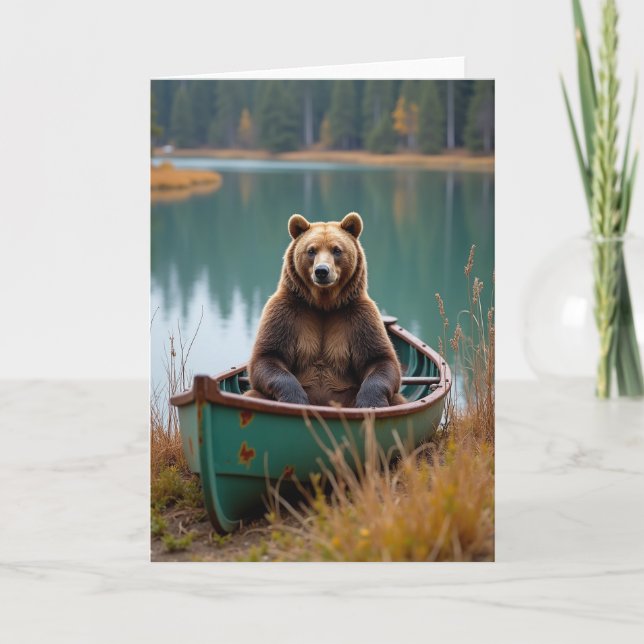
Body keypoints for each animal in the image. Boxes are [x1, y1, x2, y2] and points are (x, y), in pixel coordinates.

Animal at [244, 212, 405, 408]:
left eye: (336, 250)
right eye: (311, 250)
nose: (322, 271)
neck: (323, 303)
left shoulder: (359, 315)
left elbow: (380, 359)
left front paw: (370, 402)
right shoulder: (286, 312)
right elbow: (268, 356)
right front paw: (296, 399)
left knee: (398, 400)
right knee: (253, 395)